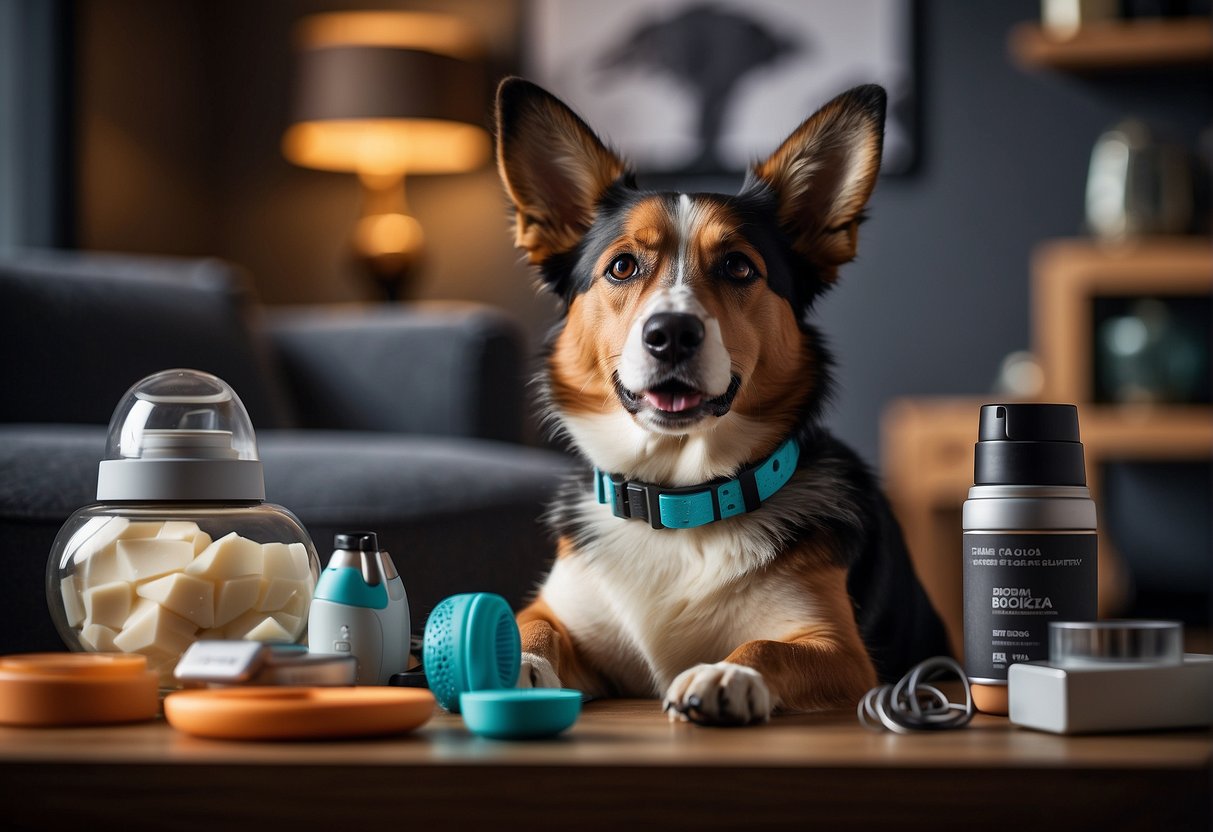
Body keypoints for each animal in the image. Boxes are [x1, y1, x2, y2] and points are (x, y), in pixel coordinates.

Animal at [492, 80, 946, 727]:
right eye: (622, 266)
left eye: (737, 267)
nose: (671, 334)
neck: (679, 500)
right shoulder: (561, 610)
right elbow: (526, 624)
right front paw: (509, 662)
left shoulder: (841, 651)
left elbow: (767, 646)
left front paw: (726, 673)